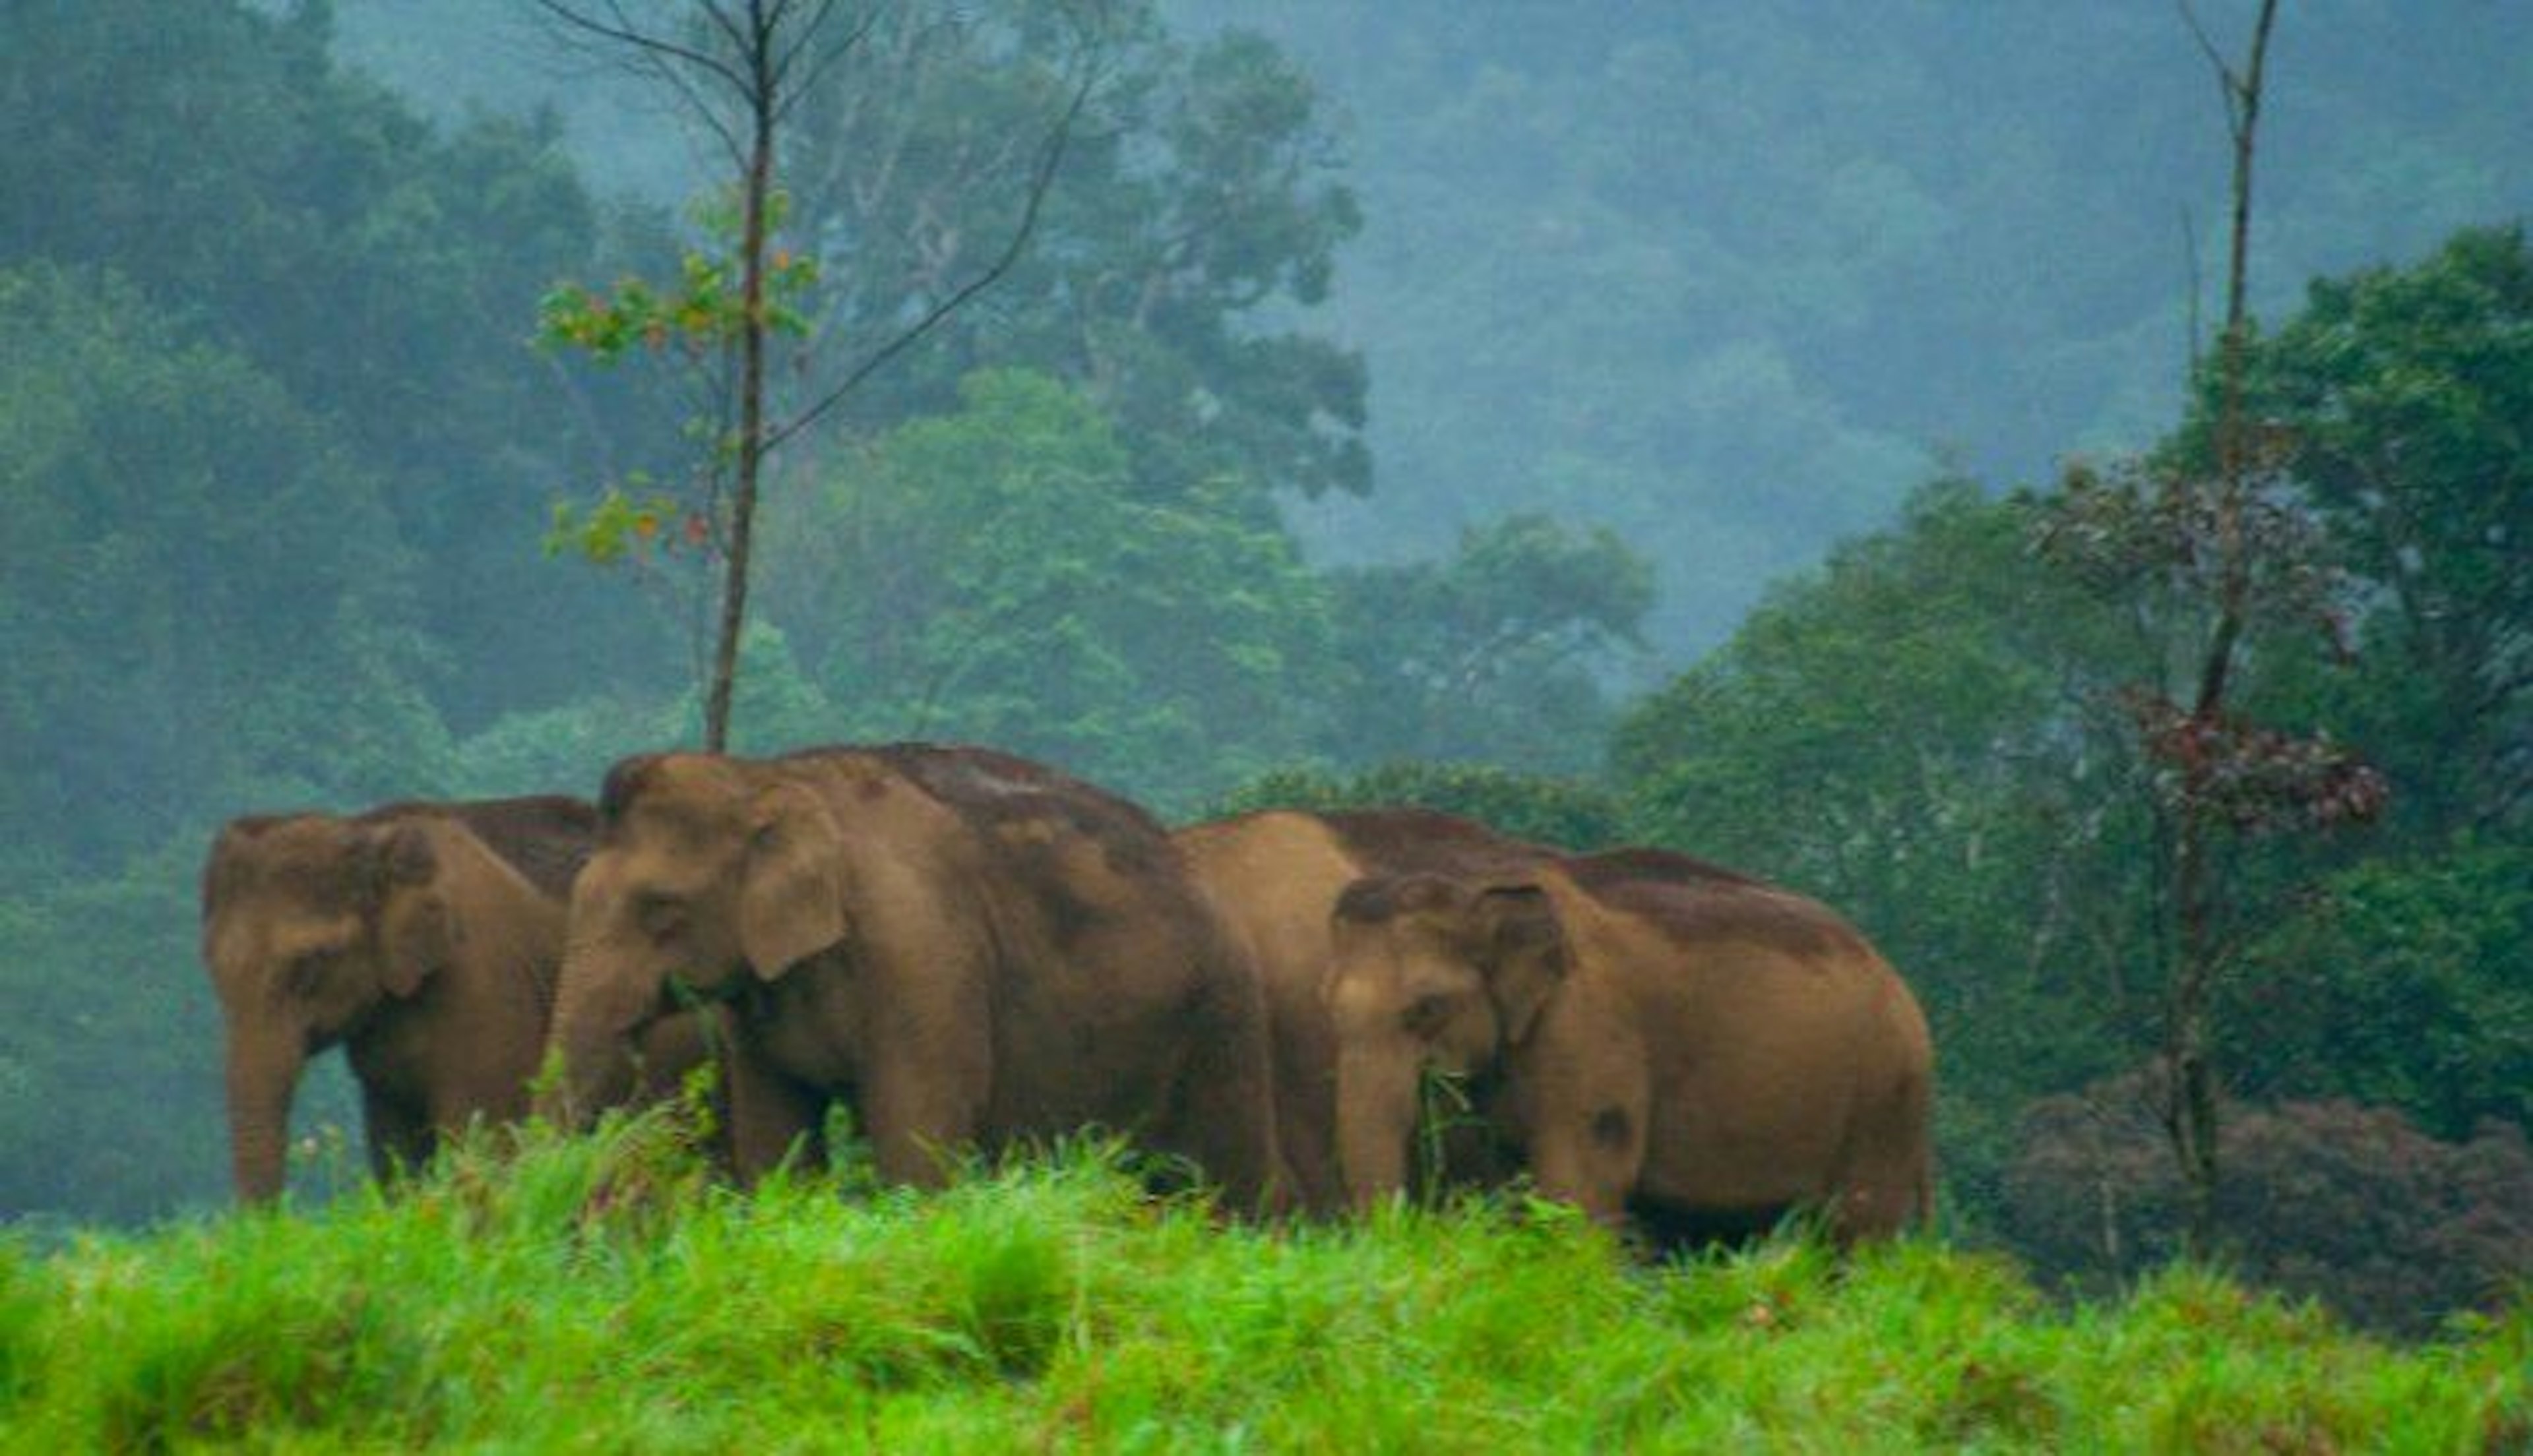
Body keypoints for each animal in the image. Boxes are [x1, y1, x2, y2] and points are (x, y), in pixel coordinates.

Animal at [193, 805, 714, 1200]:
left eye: (311, 966)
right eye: (212, 968)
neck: (370, 829)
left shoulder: (485, 986)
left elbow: (483, 1137)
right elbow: (396, 1156)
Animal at [542, 744, 1276, 1215]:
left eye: (662, 910)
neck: (767, 777)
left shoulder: (923, 952)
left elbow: (918, 1129)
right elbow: (773, 1138)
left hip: (1224, 1026)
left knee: (1222, 1181)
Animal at [1327, 851, 1935, 1246]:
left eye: (1426, 1008)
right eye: (1325, 1004)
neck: (1479, 885)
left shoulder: (1590, 1030)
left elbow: (1581, 1182)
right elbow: (1510, 1185)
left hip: (1885, 1098)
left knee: (1852, 1234)